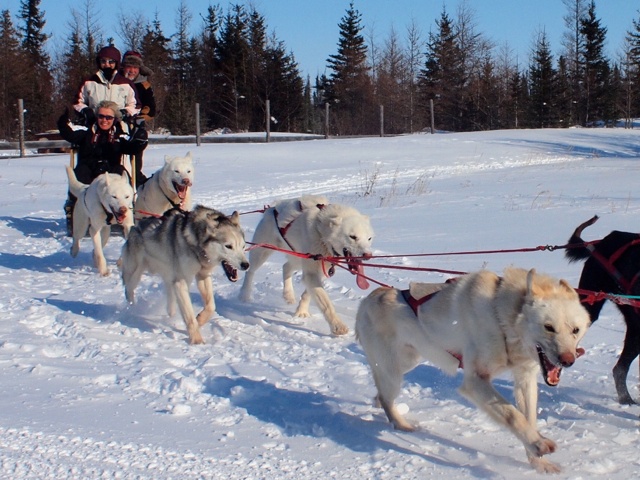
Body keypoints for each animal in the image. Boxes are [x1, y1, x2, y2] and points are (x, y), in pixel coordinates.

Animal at [120, 206, 250, 344]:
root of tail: (135, 227)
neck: (196, 244)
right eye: (228, 246)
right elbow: (189, 317)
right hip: (135, 273)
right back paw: (131, 309)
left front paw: (200, 320)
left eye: (243, 246)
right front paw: (197, 341)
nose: (246, 265)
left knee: (170, 296)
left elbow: (211, 306)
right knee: (128, 290)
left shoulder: (202, 276)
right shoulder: (181, 282)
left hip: (169, 276)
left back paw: (170, 313)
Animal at [238, 195, 372, 334]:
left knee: (286, 267)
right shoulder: (312, 270)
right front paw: (337, 325)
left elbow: (308, 294)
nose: (368, 255)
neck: (320, 231)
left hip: (298, 257)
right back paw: (244, 294)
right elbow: (326, 303)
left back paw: (288, 295)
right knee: (250, 271)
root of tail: (270, 209)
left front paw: (301, 311)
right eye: (352, 236)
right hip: (262, 252)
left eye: (369, 238)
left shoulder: (318, 270)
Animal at [356, 268, 592, 474]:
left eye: (575, 330)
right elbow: (513, 415)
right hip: (393, 372)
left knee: (381, 393)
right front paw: (538, 443)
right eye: (548, 327)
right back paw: (401, 424)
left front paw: (538, 461)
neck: (501, 319)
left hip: (407, 363)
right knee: (387, 397)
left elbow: (529, 418)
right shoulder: (476, 381)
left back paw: (380, 403)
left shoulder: (525, 378)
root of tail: (367, 300)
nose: (568, 360)